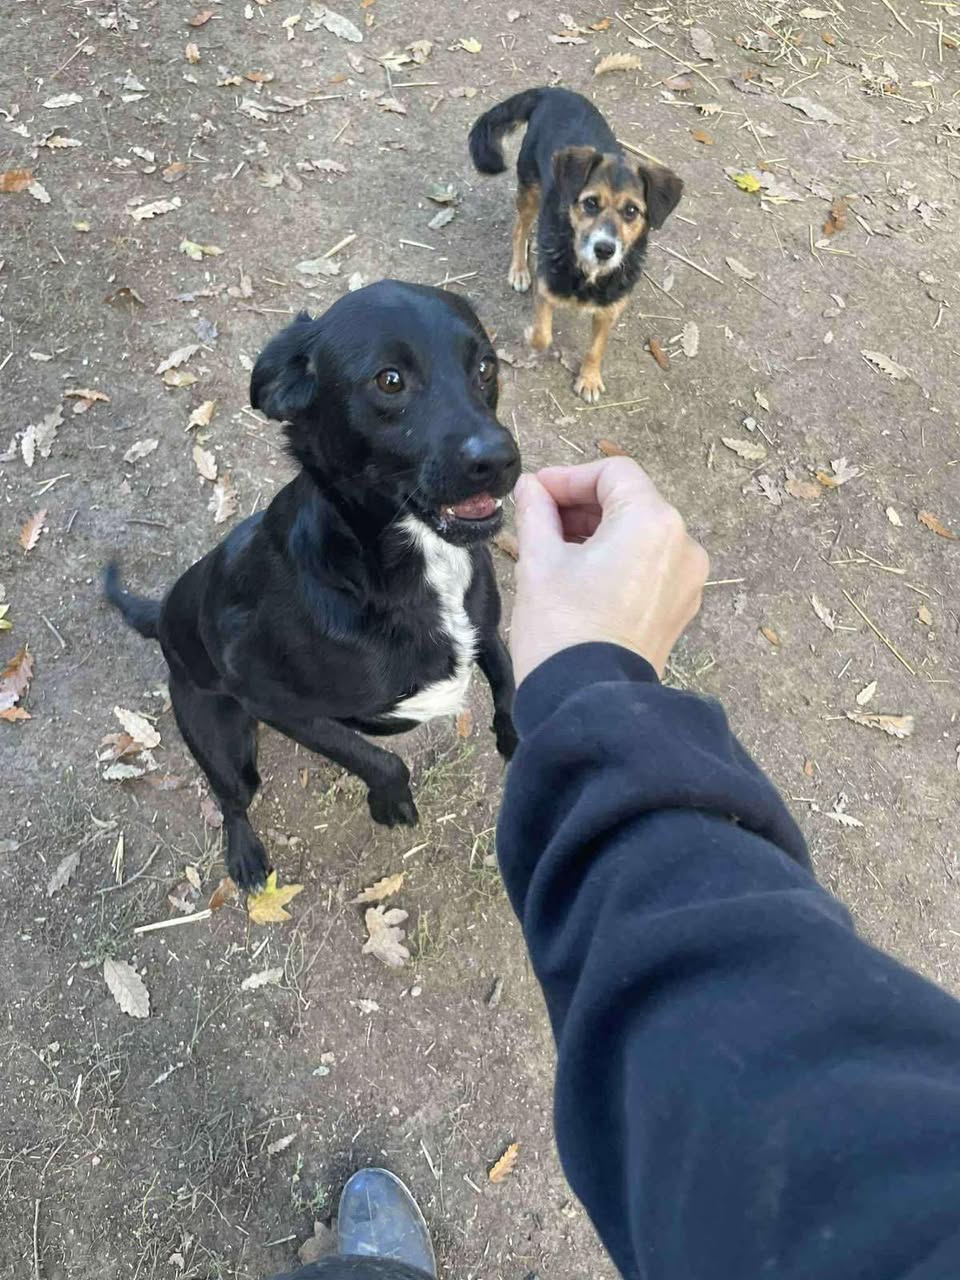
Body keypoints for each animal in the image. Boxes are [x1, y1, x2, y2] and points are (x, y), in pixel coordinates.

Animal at [105, 281, 521, 891]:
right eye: (390, 380)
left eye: (486, 367)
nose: (500, 460)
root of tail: (161, 619)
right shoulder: (272, 698)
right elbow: (378, 758)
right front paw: (392, 802)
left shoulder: (483, 629)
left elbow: (509, 682)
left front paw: (515, 738)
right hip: (223, 740)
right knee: (233, 800)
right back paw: (246, 857)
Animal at [469, 86, 683, 404]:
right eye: (591, 203)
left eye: (632, 211)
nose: (605, 249)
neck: (589, 271)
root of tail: (552, 91)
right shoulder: (546, 288)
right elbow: (542, 336)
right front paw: (532, 333)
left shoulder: (610, 308)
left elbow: (596, 349)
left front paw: (590, 378)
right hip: (531, 190)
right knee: (520, 229)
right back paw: (519, 270)